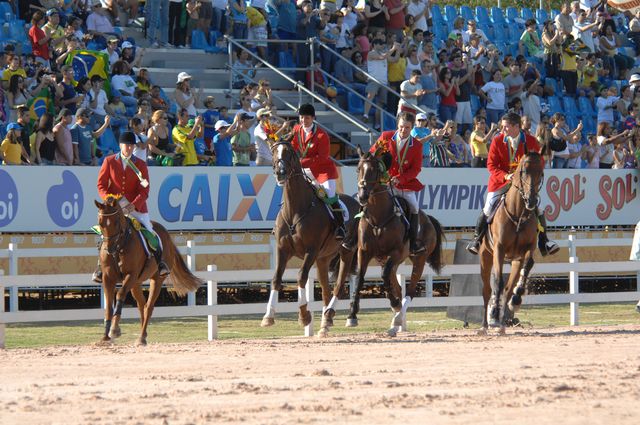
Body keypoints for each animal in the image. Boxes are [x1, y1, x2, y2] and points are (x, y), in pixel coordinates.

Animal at [92, 195, 201, 344]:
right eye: (100, 223)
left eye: (116, 222)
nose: (110, 249)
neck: (120, 246)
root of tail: (166, 234)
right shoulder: (108, 278)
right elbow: (109, 306)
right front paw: (105, 336)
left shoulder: (130, 275)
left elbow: (120, 294)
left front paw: (114, 330)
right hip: (136, 283)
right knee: (141, 305)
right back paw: (142, 336)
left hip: (156, 279)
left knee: (148, 306)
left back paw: (142, 337)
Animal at [260, 141, 360, 336]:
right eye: (274, 152)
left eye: (290, 153)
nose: (280, 172)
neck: (295, 210)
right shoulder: (283, 250)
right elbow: (276, 278)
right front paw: (268, 316)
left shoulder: (311, 251)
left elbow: (301, 276)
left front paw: (304, 316)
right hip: (323, 259)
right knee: (326, 291)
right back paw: (325, 323)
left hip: (347, 252)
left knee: (338, 287)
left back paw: (331, 316)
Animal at [340, 147, 444, 336]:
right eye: (358, 169)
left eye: (375, 170)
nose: (362, 196)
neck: (378, 216)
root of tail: (429, 220)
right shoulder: (363, 252)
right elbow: (360, 279)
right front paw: (352, 315)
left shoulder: (397, 252)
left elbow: (383, 276)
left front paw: (394, 303)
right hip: (388, 260)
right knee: (397, 285)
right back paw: (395, 321)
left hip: (418, 259)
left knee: (409, 290)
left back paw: (397, 316)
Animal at [480, 151, 544, 332]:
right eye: (523, 171)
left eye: (541, 172)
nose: (531, 200)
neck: (518, 213)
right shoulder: (499, 249)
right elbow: (498, 282)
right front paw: (494, 313)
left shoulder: (528, 249)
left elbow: (527, 266)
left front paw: (516, 299)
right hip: (486, 257)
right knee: (487, 290)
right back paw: (486, 324)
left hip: (515, 260)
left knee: (508, 288)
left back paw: (503, 320)